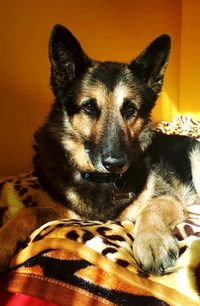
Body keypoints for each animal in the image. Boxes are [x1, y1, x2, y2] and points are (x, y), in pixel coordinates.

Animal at [0, 24, 200, 274]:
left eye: (130, 109)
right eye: (88, 107)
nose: (115, 164)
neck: (98, 179)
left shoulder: (168, 198)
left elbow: (150, 208)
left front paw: (152, 242)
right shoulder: (62, 212)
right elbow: (27, 211)